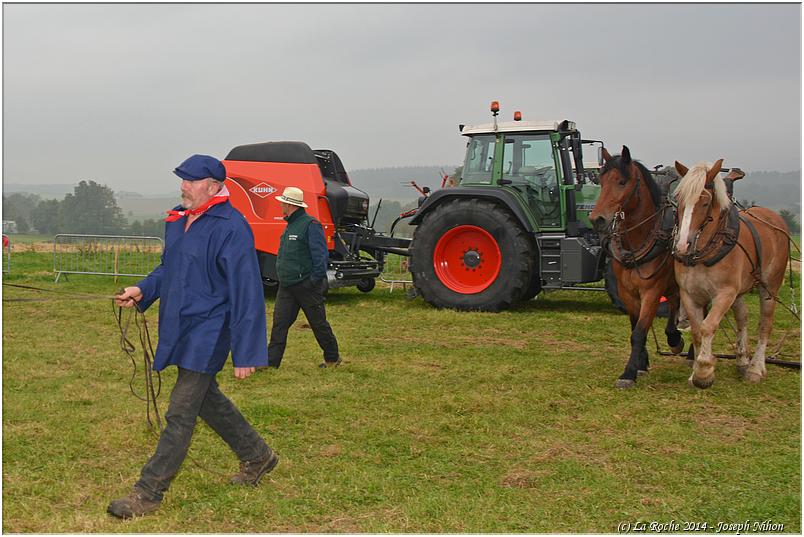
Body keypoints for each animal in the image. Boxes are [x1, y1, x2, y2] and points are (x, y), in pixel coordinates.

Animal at [592, 147, 684, 388]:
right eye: (601, 181)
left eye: (622, 182)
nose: (597, 219)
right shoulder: (627, 292)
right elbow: (635, 328)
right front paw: (641, 363)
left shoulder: (652, 291)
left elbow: (640, 331)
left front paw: (629, 373)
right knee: (675, 303)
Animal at [672, 160, 792, 390]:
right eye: (678, 199)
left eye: (705, 202)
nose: (682, 246)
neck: (707, 249)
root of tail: (773, 217)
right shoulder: (688, 294)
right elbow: (697, 330)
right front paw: (696, 374)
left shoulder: (725, 293)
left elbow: (708, 327)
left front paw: (704, 372)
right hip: (740, 291)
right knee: (742, 317)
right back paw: (742, 360)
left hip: (769, 286)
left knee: (765, 323)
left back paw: (755, 368)